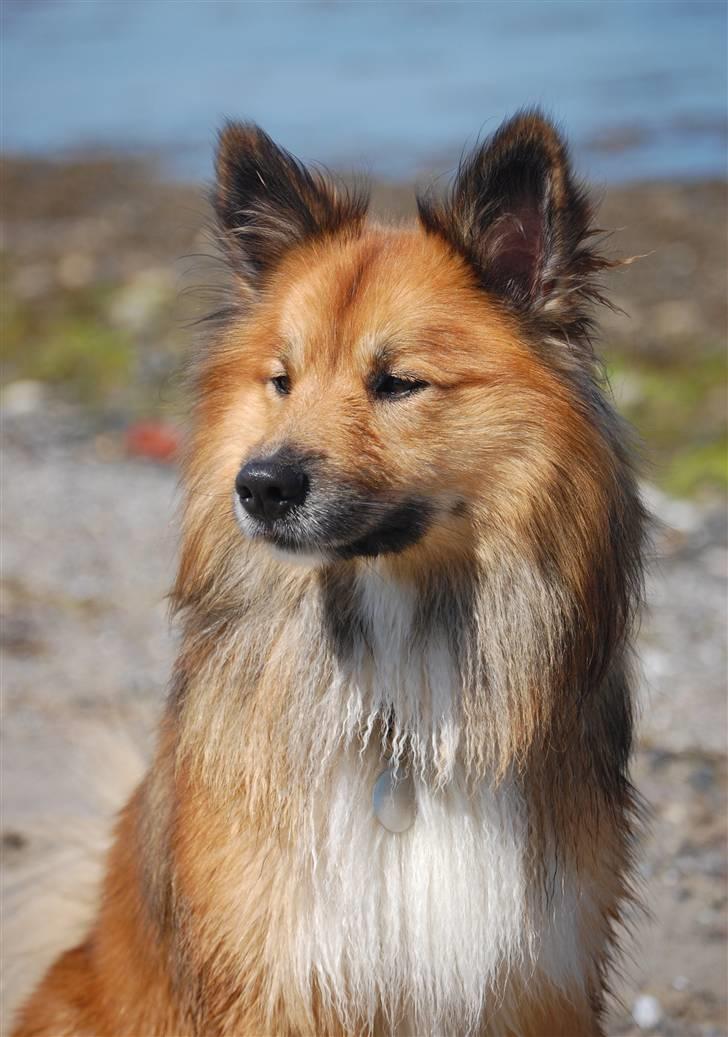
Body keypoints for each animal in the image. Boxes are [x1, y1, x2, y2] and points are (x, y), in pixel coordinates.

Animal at [12, 113, 642, 1037]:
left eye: (399, 382)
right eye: (282, 379)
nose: (260, 485)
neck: (397, 705)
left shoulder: (534, 979)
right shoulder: (279, 978)